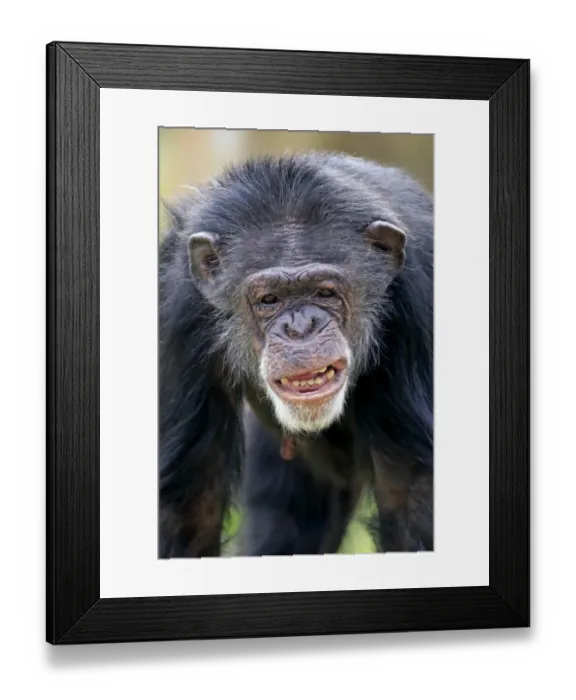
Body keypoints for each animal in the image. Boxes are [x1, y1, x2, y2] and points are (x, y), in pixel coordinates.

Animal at [158, 151, 433, 557]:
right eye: (269, 299)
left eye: (325, 292)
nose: (300, 327)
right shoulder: (174, 305)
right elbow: (189, 506)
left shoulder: (420, 298)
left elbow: (413, 497)